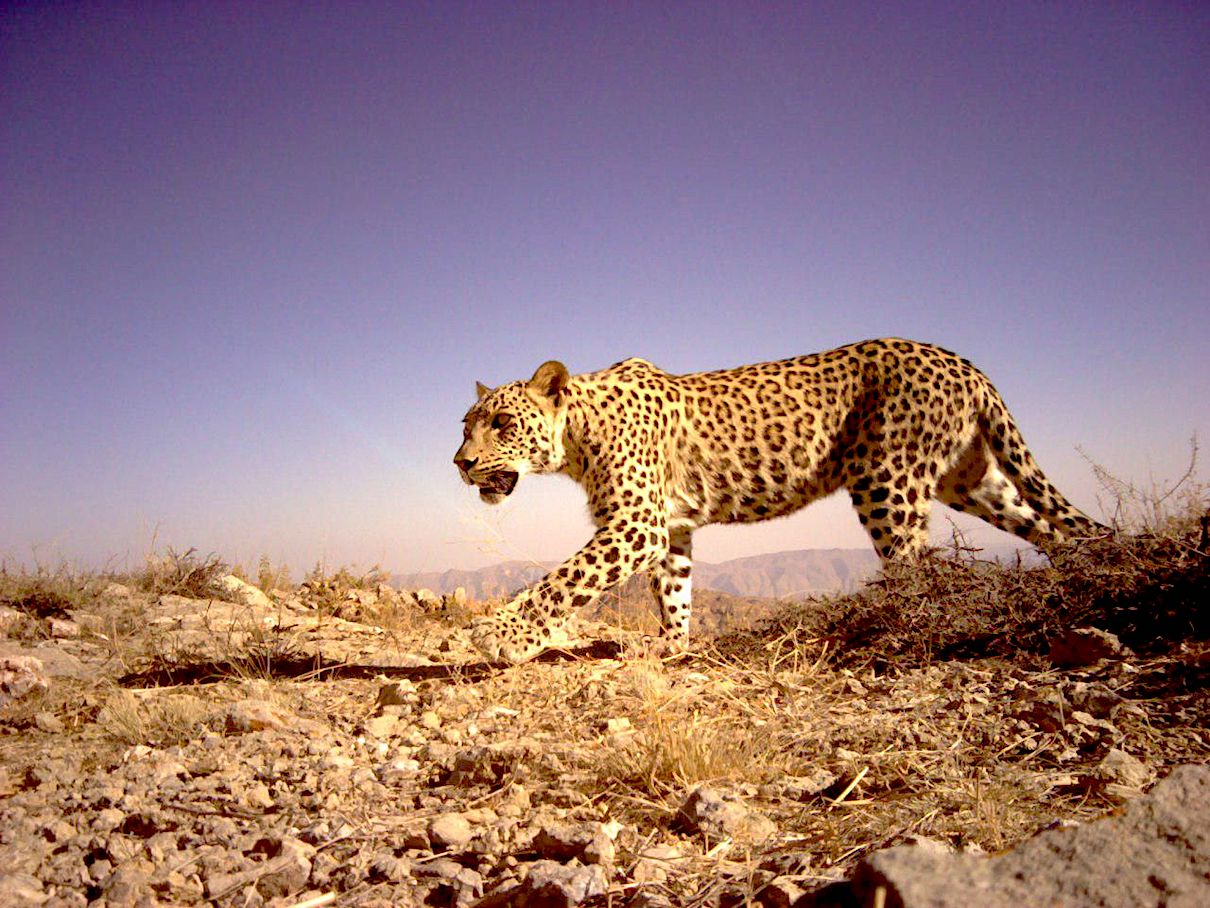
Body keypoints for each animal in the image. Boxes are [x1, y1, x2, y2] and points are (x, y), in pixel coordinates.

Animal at [454, 338, 1105, 663]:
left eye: (502, 423)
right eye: (466, 425)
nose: (460, 464)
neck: (576, 439)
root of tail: (963, 362)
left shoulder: (637, 525)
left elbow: (562, 581)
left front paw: (503, 637)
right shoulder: (670, 530)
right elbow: (675, 592)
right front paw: (672, 646)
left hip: (887, 485)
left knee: (914, 566)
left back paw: (897, 630)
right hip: (969, 480)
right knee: (1047, 524)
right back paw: (1080, 578)